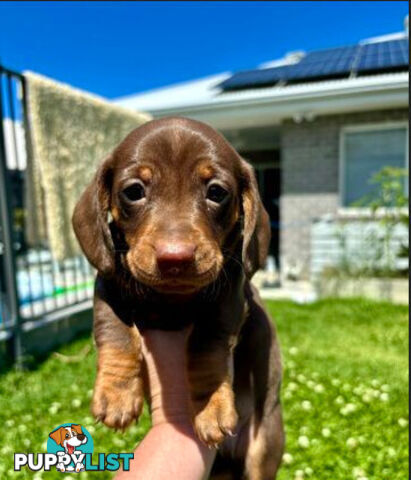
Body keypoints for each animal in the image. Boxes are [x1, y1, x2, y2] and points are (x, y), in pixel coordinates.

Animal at [71, 117, 284, 480]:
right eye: (134, 191)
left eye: (216, 192)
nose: (175, 258)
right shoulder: (107, 284)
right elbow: (115, 330)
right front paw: (117, 395)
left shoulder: (231, 293)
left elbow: (206, 341)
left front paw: (210, 405)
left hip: (263, 446)